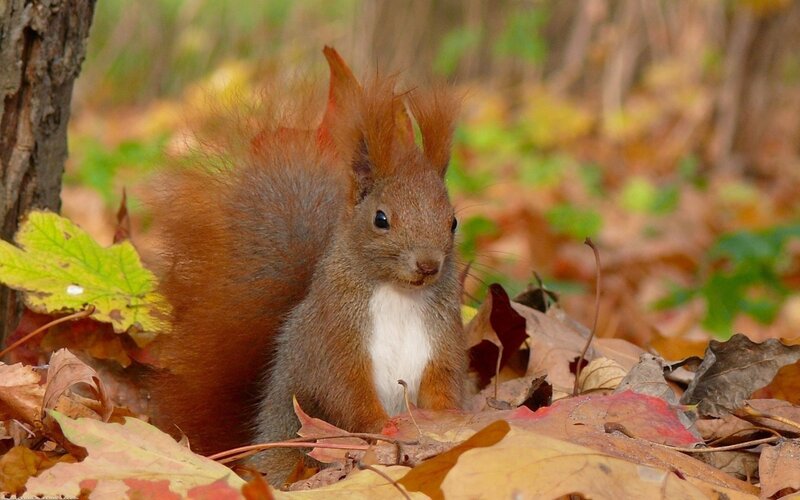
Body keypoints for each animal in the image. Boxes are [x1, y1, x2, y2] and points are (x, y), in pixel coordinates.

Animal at [148, 47, 466, 485]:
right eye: (381, 219)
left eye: (453, 222)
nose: (428, 265)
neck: (399, 294)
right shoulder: (334, 339)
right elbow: (346, 393)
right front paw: (384, 429)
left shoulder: (442, 339)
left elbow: (443, 387)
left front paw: (449, 424)